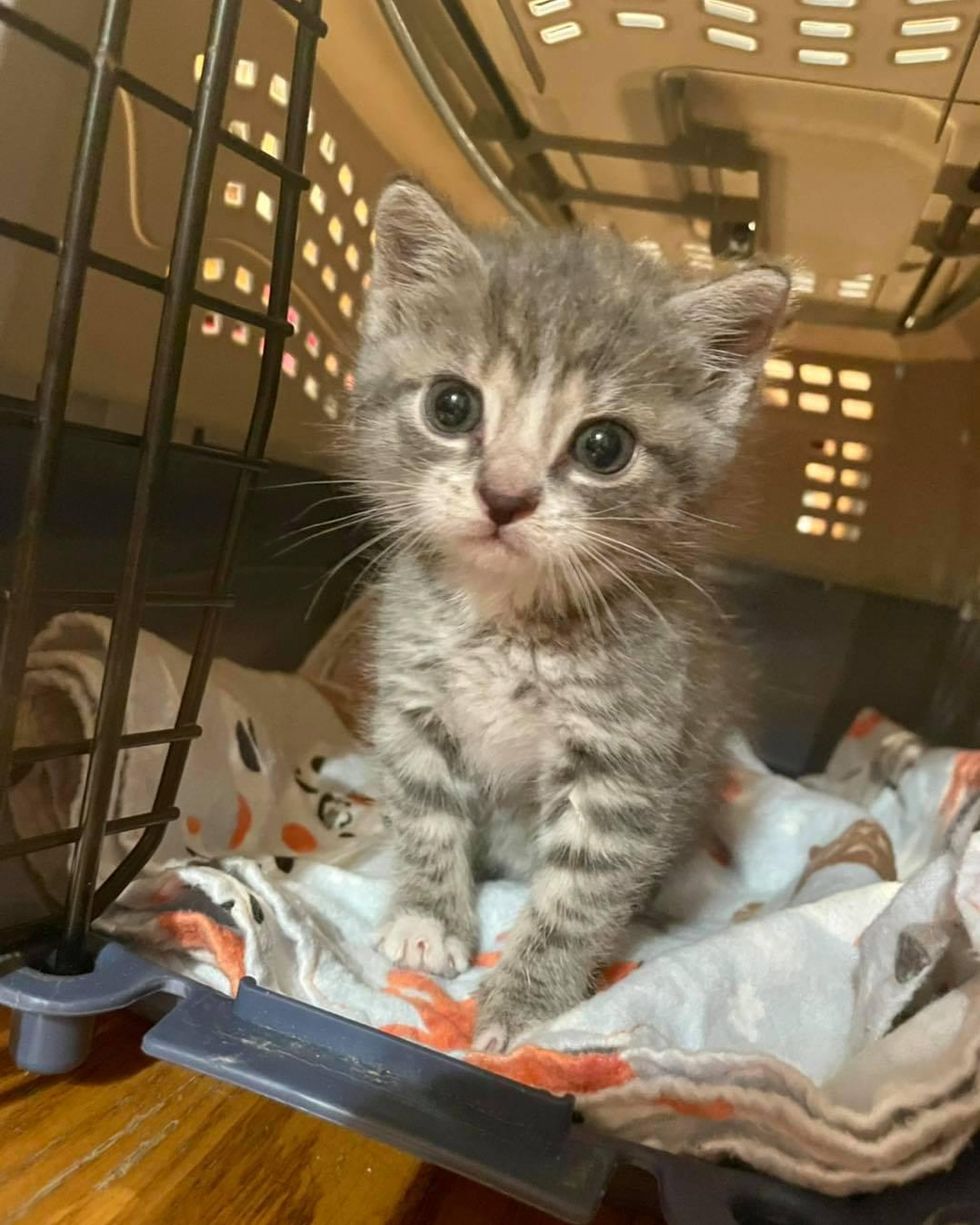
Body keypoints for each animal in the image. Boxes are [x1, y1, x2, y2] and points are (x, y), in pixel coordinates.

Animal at [352, 178, 788, 1053]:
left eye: (603, 447)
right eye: (452, 404)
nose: (504, 496)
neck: (506, 620)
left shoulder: (627, 753)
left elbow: (582, 889)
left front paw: (526, 997)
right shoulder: (412, 704)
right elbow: (423, 810)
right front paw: (426, 915)